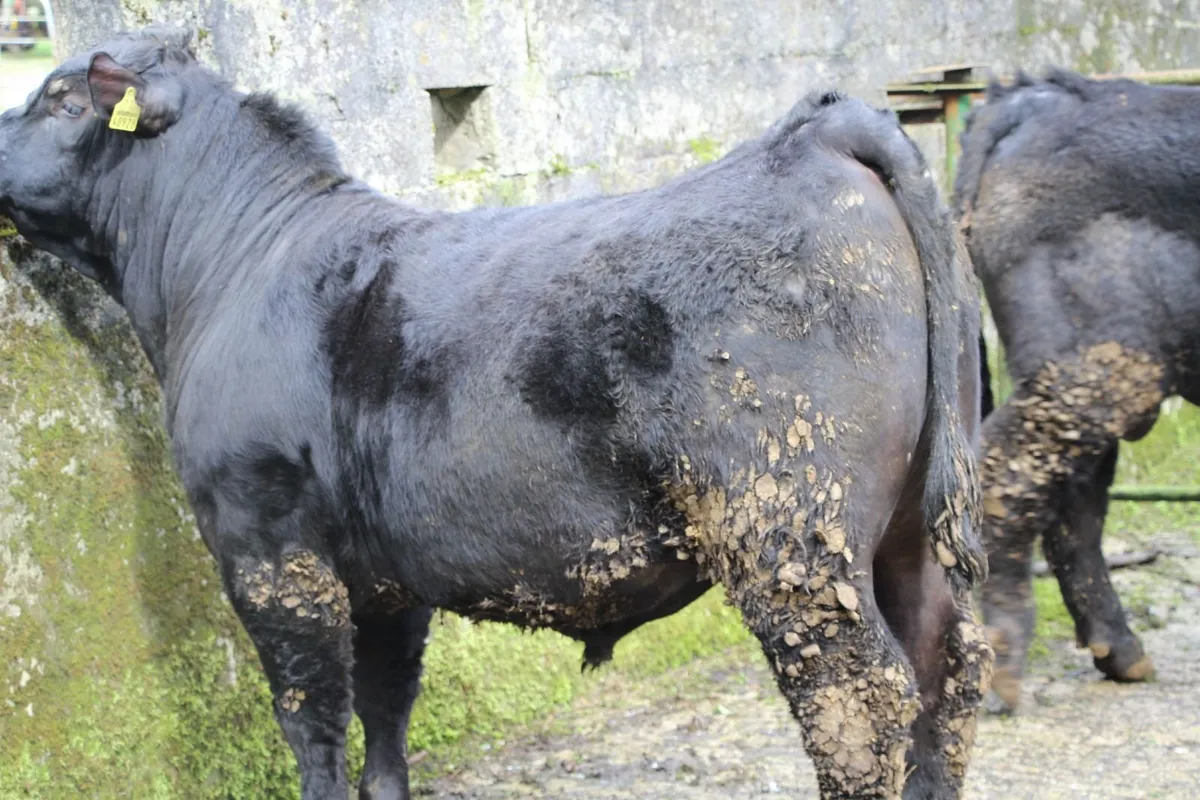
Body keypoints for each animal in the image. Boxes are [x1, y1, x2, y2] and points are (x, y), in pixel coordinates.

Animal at [0, 25, 991, 800]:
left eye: (59, 98)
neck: (233, 263)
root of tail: (817, 129)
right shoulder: (384, 570)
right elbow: (387, 708)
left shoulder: (268, 547)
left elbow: (311, 717)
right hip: (906, 529)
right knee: (947, 668)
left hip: (788, 533)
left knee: (860, 701)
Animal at [954, 67, 1200, 714]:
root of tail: (1038, 96)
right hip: (1095, 373)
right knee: (1010, 476)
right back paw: (1005, 679)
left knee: (1073, 503)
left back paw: (1126, 658)